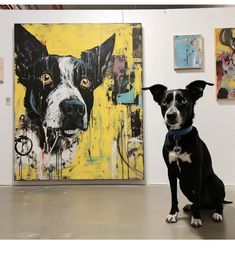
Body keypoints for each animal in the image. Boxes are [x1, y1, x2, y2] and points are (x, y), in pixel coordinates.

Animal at [143, 80, 231, 226]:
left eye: (184, 101)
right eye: (164, 102)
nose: (170, 115)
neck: (178, 136)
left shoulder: (196, 170)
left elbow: (197, 197)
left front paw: (196, 217)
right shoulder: (171, 171)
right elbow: (173, 196)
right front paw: (173, 214)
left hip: (214, 181)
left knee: (218, 203)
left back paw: (217, 213)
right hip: (183, 184)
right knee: (201, 203)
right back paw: (191, 206)